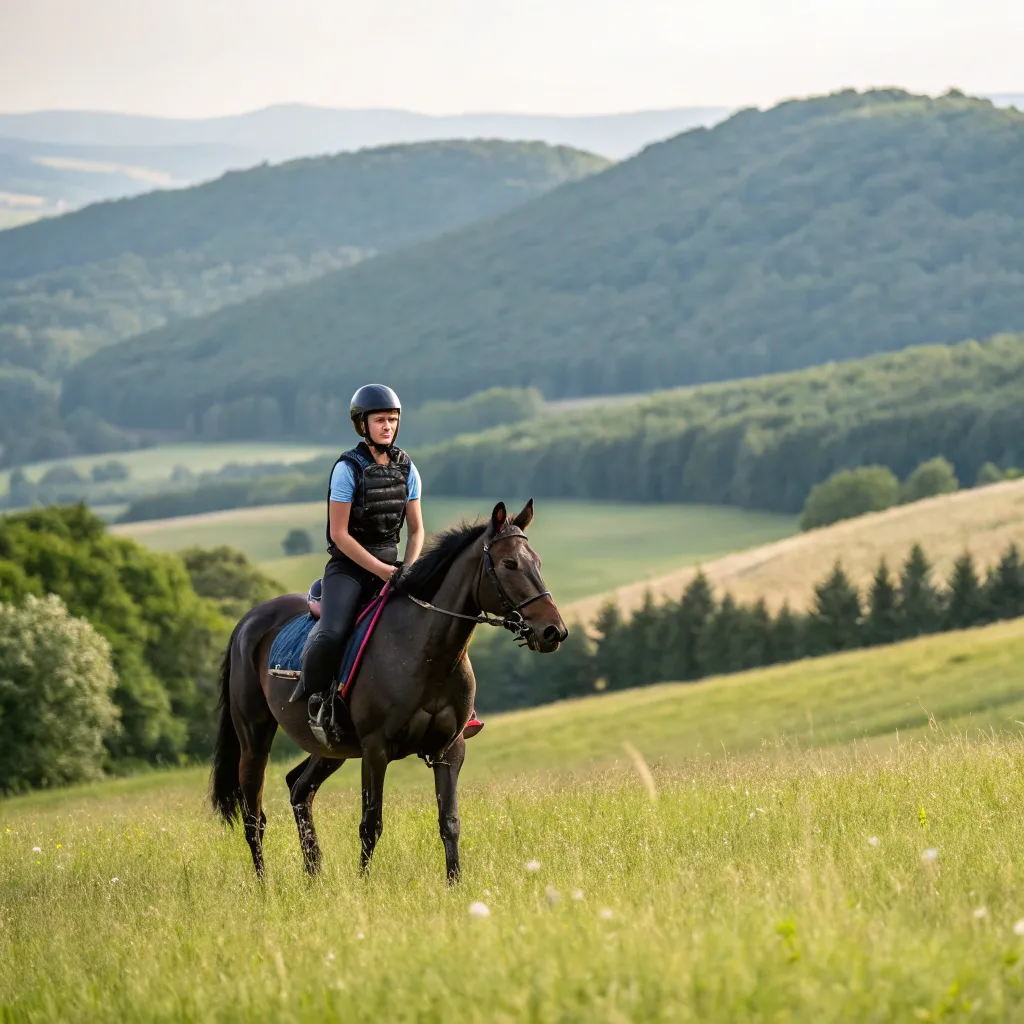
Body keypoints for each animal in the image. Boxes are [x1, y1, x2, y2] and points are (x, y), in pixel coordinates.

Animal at [208, 497, 569, 880]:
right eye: (509, 564)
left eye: (537, 562)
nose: (553, 631)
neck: (428, 652)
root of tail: (248, 621)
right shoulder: (375, 749)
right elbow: (371, 824)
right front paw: (364, 884)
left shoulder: (449, 750)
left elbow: (450, 822)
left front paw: (455, 884)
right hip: (255, 741)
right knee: (254, 818)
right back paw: (266, 885)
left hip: (331, 749)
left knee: (298, 788)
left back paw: (313, 874)